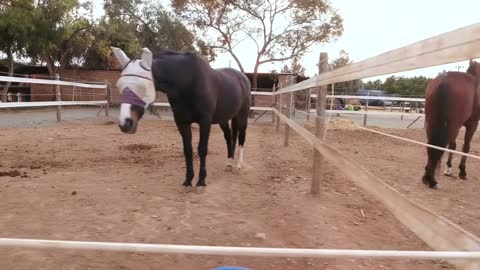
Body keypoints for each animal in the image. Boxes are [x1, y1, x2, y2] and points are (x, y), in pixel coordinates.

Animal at [422, 59, 478, 189]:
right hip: (452, 126)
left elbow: (453, 146)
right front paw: (462, 172)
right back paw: (432, 180)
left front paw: (448, 169)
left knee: (432, 145)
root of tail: (444, 81)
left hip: (432, 122)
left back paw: (428, 175)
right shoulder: (472, 124)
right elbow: (466, 147)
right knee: (439, 146)